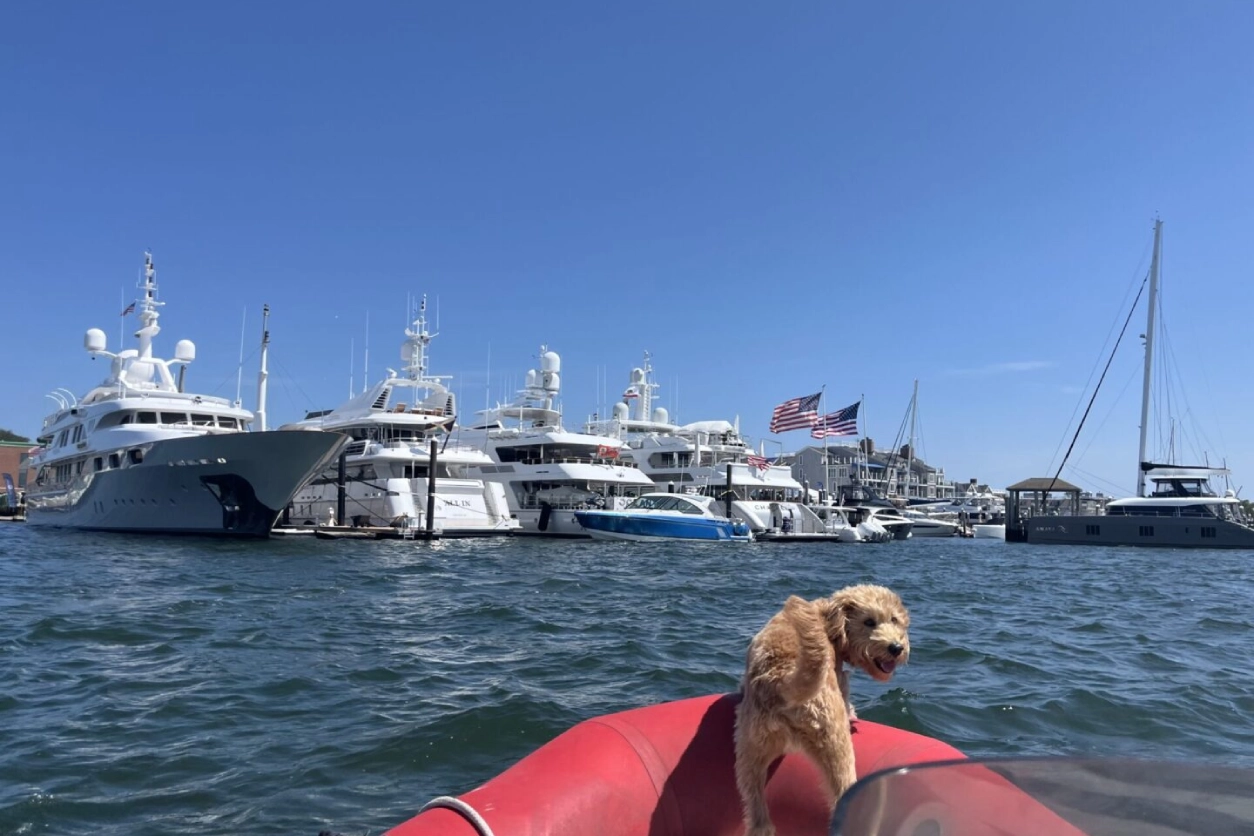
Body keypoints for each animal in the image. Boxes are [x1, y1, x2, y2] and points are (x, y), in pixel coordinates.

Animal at [732, 586, 907, 836]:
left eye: (893, 619)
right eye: (869, 622)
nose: (896, 648)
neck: (829, 619)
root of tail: (782, 680)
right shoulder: (840, 679)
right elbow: (846, 698)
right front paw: (853, 714)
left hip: (750, 754)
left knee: (758, 818)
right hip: (836, 746)